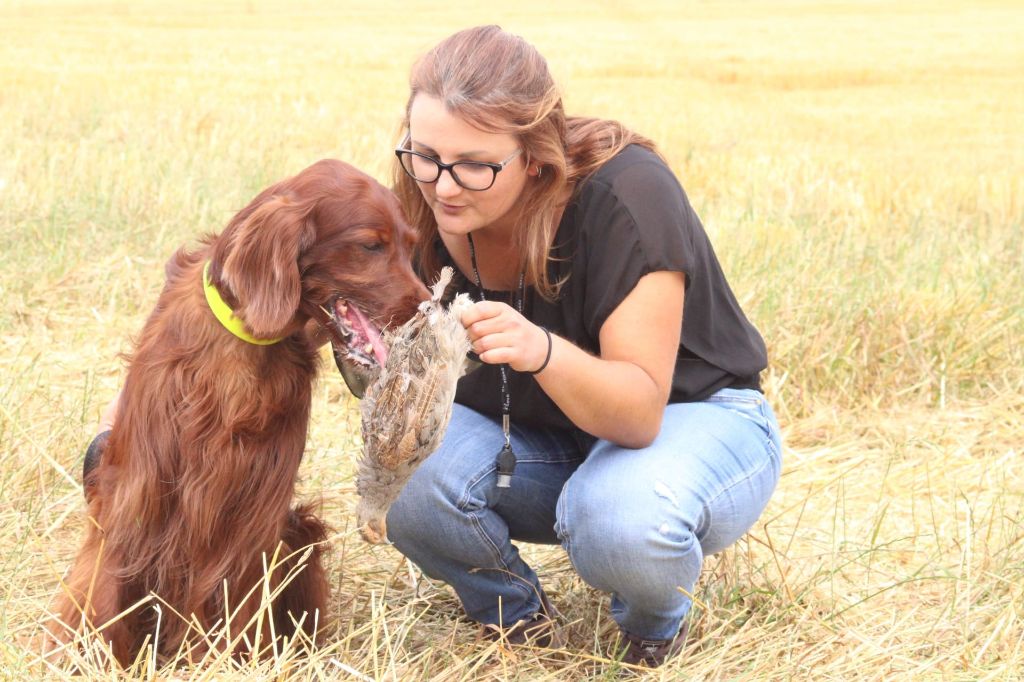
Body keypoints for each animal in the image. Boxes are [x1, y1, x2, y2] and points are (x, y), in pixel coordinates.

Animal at [48, 159, 428, 663]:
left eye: (411, 246)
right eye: (371, 245)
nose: (429, 310)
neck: (245, 340)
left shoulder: (253, 505)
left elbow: (237, 597)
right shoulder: (136, 487)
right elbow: (103, 587)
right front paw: (84, 655)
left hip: (299, 530)